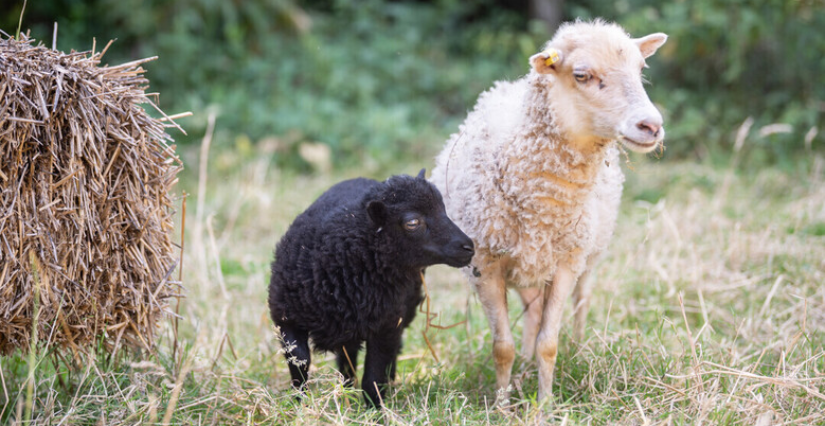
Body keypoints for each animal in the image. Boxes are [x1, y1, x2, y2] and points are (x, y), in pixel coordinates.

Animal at [268, 169, 475, 407]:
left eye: (444, 209)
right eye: (412, 222)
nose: (469, 247)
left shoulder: (386, 325)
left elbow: (375, 374)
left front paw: (375, 409)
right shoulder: (285, 318)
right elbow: (299, 361)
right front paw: (299, 401)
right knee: (347, 356)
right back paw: (347, 389)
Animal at [429, 19, 668, 403]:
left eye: (640, 68)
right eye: (582, 74)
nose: (651, 126)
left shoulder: (567, 262)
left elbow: (549, 344)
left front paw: (545, 405)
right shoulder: (485, 264)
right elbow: (502, 348)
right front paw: (502, 405)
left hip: (589, 253)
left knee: (581, 302)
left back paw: (579, 349)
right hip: (526, 265)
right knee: (532, 312)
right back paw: (525, 366)